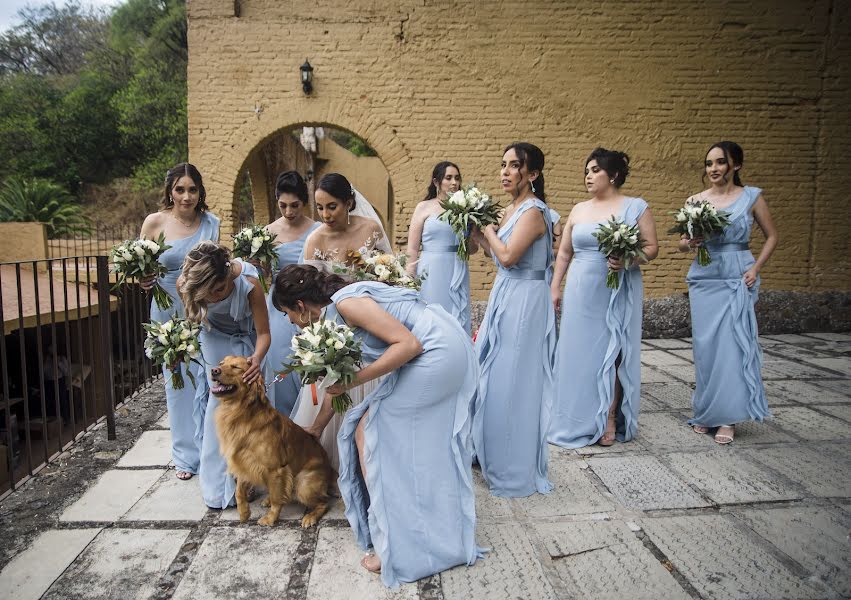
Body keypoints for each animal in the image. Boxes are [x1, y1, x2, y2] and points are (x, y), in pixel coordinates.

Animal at [210, 354, 336, 528]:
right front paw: (244, 512)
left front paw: (270, 518)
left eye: (236, 367)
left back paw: (310, 517)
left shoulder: (276, 468)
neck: (241, 414)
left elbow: (277, 500)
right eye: (221, 363)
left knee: (323, 502)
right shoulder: (244, 461)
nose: (214, 370)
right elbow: (239, 491)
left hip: (303, 484)